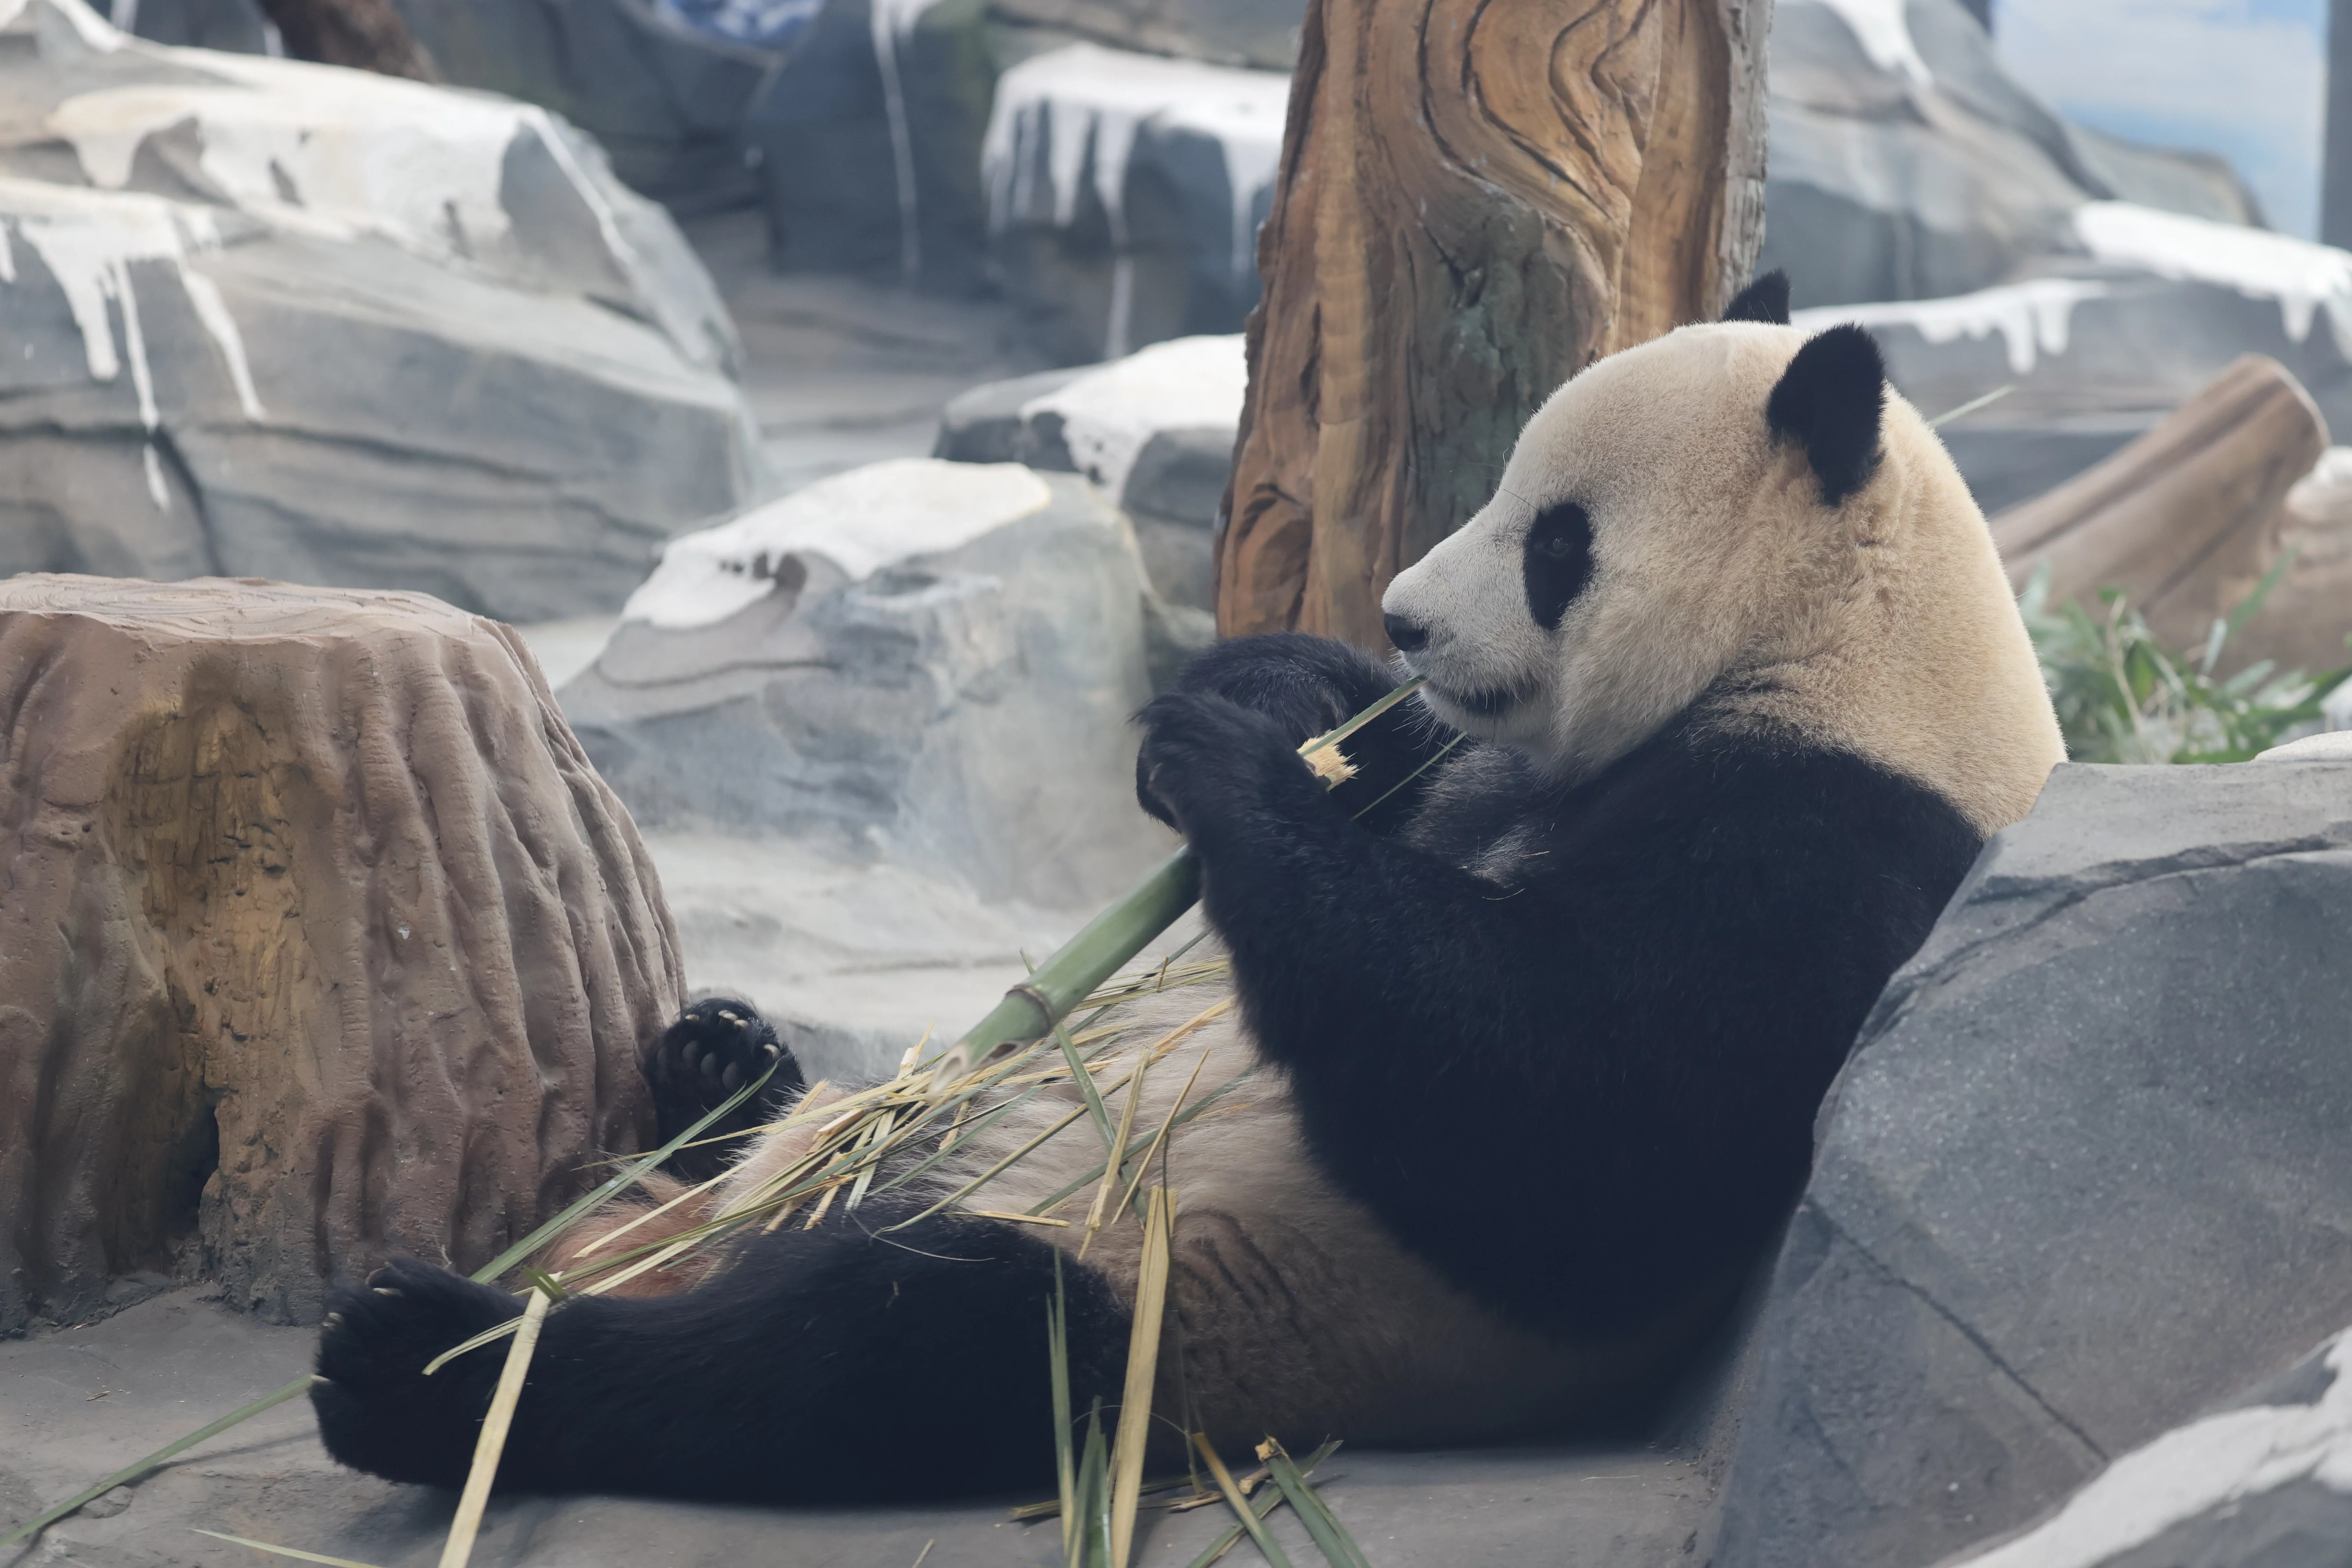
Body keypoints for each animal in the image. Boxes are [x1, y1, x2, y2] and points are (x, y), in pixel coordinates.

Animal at [309, 273, 2065, 1504]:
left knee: (878, 1341)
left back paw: (425, 1367)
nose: (1406, 617)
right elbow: (1398, 786)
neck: (1849, 644)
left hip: (1181, 1301)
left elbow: (1567, 1122)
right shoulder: (1503, 765)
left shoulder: (1836, 851)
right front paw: (1280, 689)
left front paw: (1224, 757)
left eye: (1554, 541)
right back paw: (721, 1067)